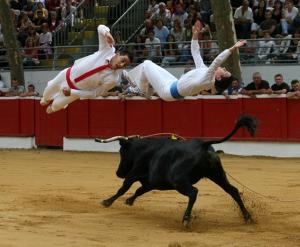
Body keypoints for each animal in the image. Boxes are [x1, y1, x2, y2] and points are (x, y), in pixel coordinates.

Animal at [96, 115, 258, 227]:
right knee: (233, 190)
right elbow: (139, 191)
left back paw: (186, 219)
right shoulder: (151, 182)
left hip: (179, 181)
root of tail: (203, 145)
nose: (118, 173)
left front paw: (107, 201)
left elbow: (123, 188)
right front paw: (129, 201)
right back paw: (248, 217)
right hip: (217, 174)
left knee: (193, 192)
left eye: (121, 152)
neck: (143, 149)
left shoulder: (133, 174)